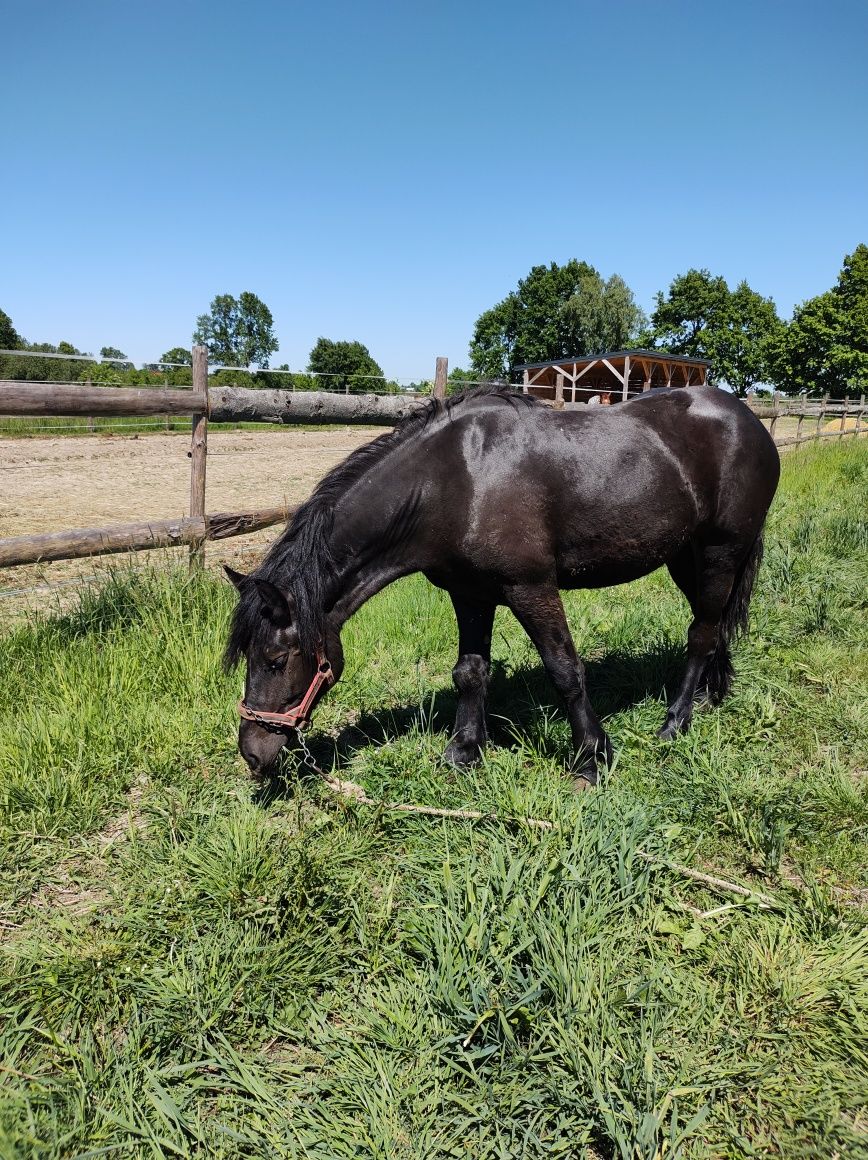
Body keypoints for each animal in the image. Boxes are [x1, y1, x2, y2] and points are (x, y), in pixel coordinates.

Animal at [223, 387, 779, 779]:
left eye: (275, 660)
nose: (251, 753)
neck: (453, 481)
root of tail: (748, 419)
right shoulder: (469, 594)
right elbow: (470, 672)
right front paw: (462, 752)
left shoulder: (530, 588)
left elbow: (565, 670)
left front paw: (591, 758)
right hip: (686, 559)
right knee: (711, 625)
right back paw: (709, 695)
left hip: (721, 552)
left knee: (701, 632)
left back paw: (674, 723)